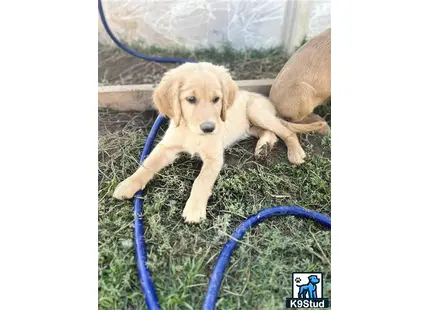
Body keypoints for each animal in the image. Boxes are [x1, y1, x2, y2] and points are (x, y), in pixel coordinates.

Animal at [112, 62, 324, 223]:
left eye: (216, 99)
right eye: (190, 99)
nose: (209, 128)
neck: (192, 132)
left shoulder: (214, 158)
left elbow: (201, 181)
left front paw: (194, 209)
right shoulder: (167, 147)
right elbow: (147, 164)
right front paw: (129, 184)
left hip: (257, 112)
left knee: (287, 131)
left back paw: (294, 152)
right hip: (249, 126)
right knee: (270, 133)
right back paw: (263, 147)